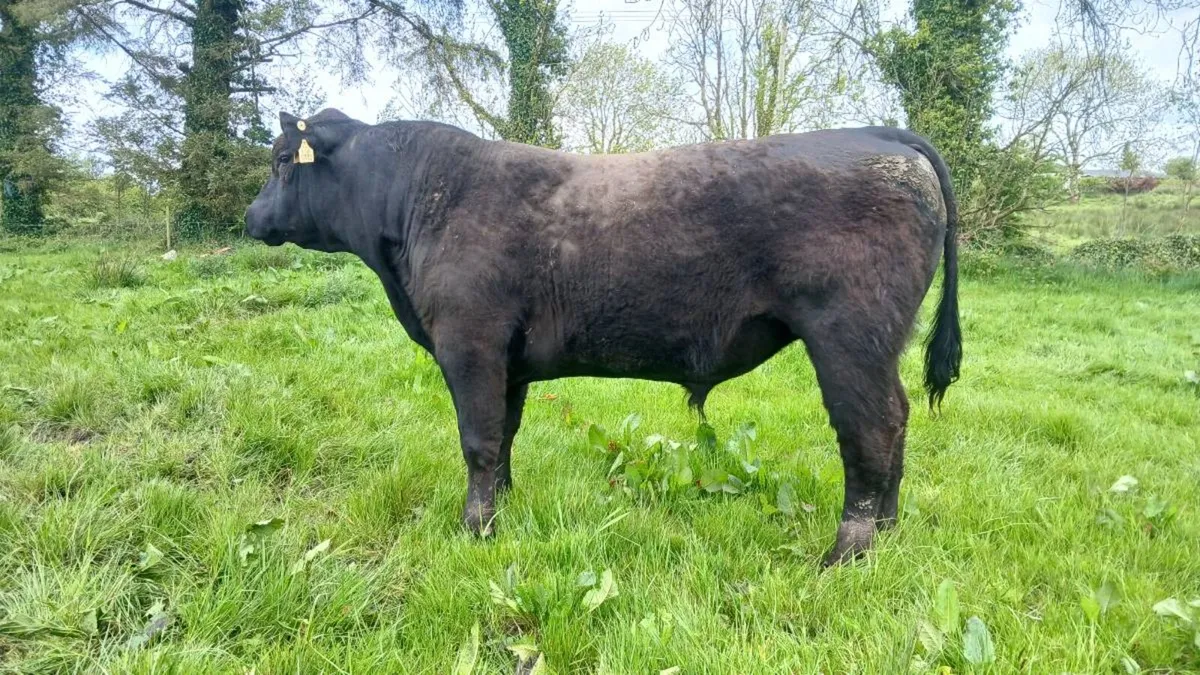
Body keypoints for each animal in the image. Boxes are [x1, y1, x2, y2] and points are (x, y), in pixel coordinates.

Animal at [245, 109, 962, 566]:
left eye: (282, 162)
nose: (250, 218)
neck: (423, 198)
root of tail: (877, 132)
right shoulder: (508, 359)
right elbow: (504, 435)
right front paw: (505, 505)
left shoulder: (469, 342)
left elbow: (477, 440)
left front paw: (475, 528)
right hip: (876, 344)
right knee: (896, 421)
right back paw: (888, 529)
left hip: (849, 337)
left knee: (870, 429)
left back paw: (848, 551)